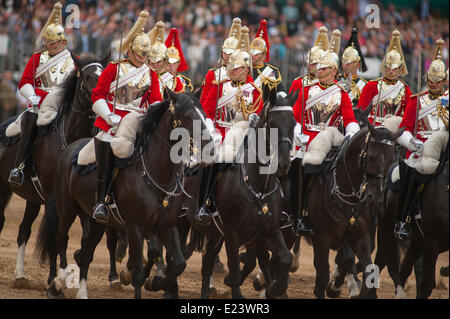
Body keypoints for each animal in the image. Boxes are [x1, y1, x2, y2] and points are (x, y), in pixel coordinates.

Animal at [0, 53, 108, 288]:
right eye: (87, 76)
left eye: (103, 74)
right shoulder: (54, 199)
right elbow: (54, 239)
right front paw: (54, 277)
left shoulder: (79, 200)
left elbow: (83, 236)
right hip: (3, 190)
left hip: (32, 199)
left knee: (23, 230)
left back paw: (20, 274)